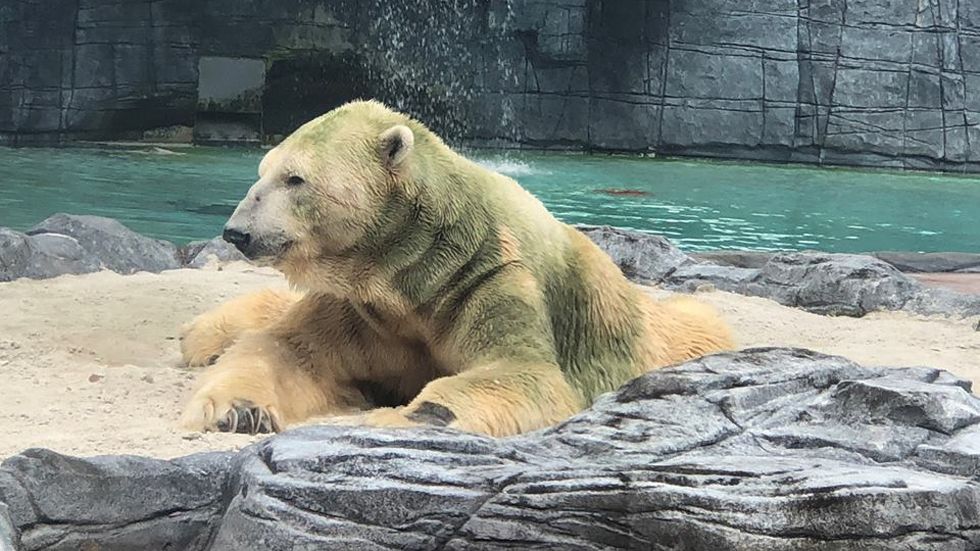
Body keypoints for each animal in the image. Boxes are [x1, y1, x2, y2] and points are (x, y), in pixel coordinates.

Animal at [178, 100, 734, 437]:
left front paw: (406, 416)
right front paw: (239, 411)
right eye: (261, 172)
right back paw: (200, 336)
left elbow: (523, 372)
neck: (416, 267)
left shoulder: (490, 281)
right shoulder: (365, 305)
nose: (237, 232)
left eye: (295, 179)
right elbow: (290, 348)